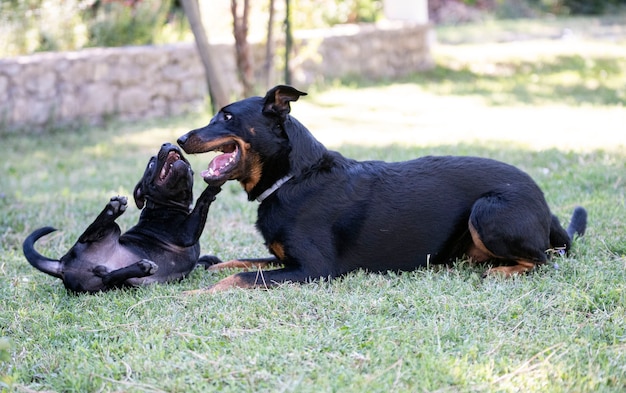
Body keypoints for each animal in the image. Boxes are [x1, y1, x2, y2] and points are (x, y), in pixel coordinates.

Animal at [22, 142, 222, 292]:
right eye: (151, 164)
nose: (167, 143)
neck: (168, 206)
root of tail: (62, 264)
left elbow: (204, 260)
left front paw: (211, 260)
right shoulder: (185, 233)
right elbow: (202, 201)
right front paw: (213, 185)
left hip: (108, 285)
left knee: (109, 277)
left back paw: (142, 267)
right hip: (111, 231)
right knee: (88, 234)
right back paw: (114, 209)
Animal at [177, 86, 584, 294]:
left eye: (228, 116)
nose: (180, 139)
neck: (292, 177)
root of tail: (545, 206)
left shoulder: (314, 268)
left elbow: (241, 277)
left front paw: (195, 293)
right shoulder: (287, 261)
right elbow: (239, 263)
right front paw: (210, 267)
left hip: (489, 210)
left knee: (545, 259)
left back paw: (501, 271)